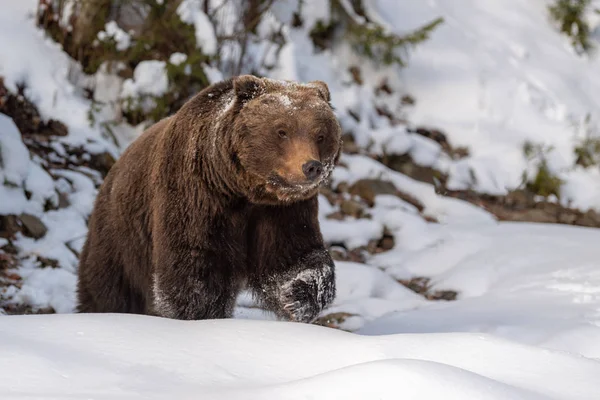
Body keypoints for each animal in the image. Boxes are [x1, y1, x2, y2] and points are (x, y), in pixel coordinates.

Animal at [75, 75, 342, 324]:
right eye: (281, 131)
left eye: (320, 135)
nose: (311, 167)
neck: (242, 190)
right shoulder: (196, 194)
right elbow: (194, 267)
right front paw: (202, 315)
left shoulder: (282, 211)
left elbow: (292, 257)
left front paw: (298, 296)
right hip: (121, 236)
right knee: (108, 288)